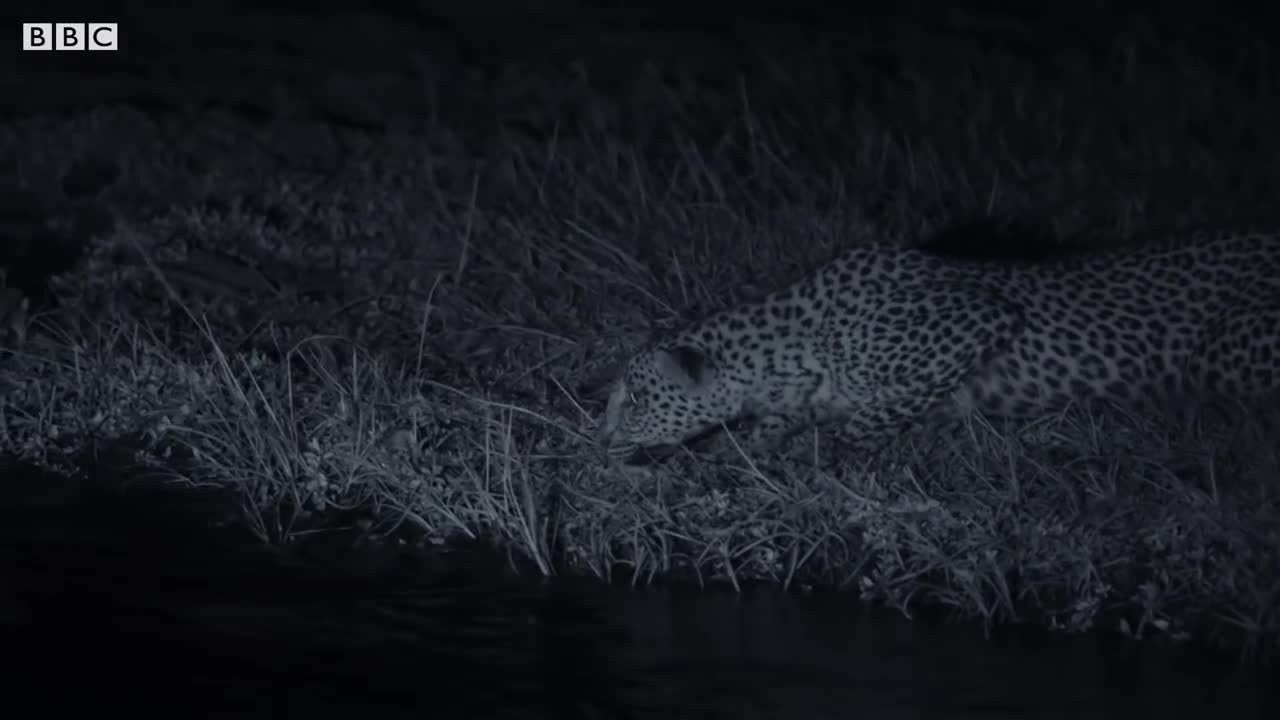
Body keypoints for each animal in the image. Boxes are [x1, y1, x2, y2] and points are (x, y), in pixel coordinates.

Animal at [599, 224, 1280, 461]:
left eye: (634, 398)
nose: (597, 440)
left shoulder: (976, 321)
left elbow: (874, 415)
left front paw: (839, 454)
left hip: (1224, 346)